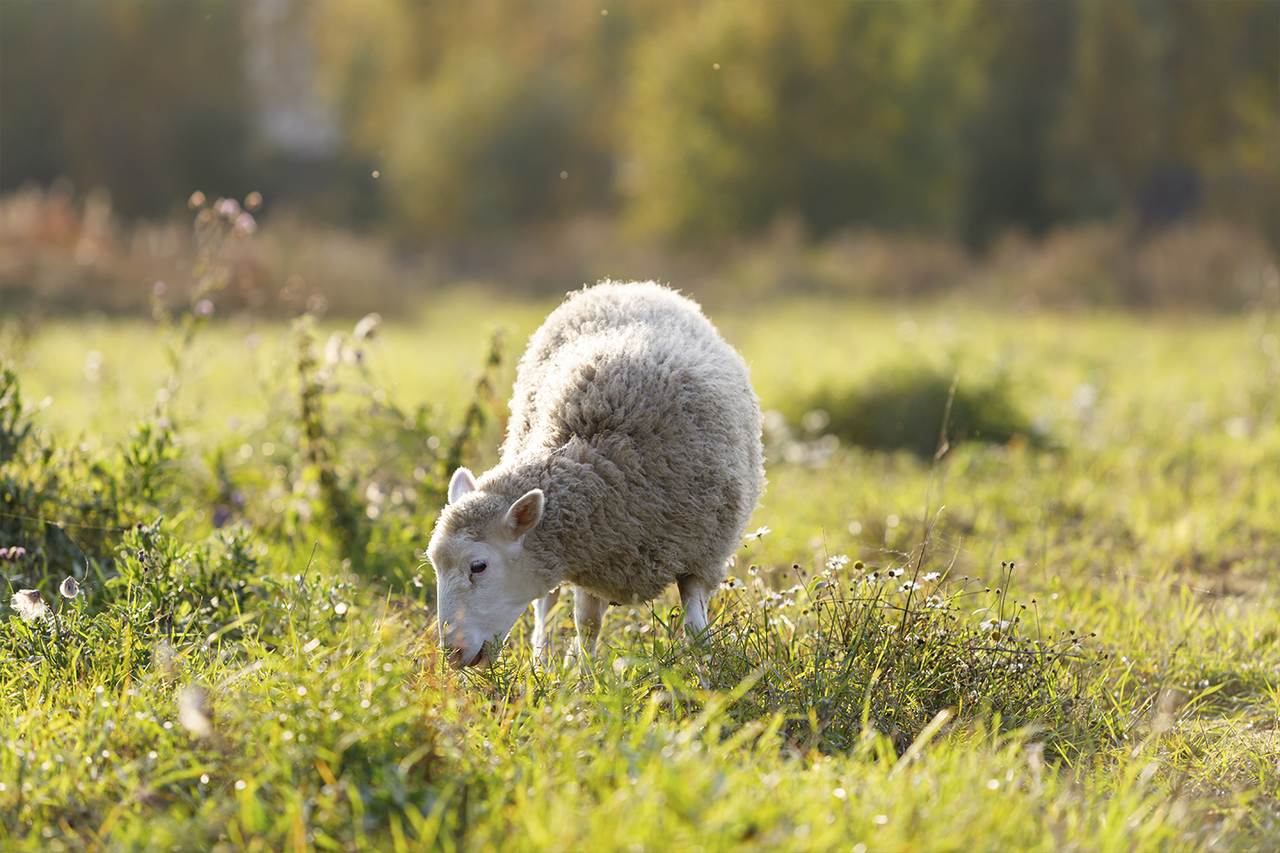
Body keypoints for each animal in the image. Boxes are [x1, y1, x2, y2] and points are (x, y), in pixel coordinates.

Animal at [424, 279, 762, 666]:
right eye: (434, 564)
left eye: (478, 566)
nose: (452, 654)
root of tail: (627, 285)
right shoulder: (593, 556)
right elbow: (586, 625)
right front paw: (586, 676)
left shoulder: (701, 557)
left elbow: (696, 629)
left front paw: (705, 671)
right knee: (546, 606)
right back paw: (541, 660)